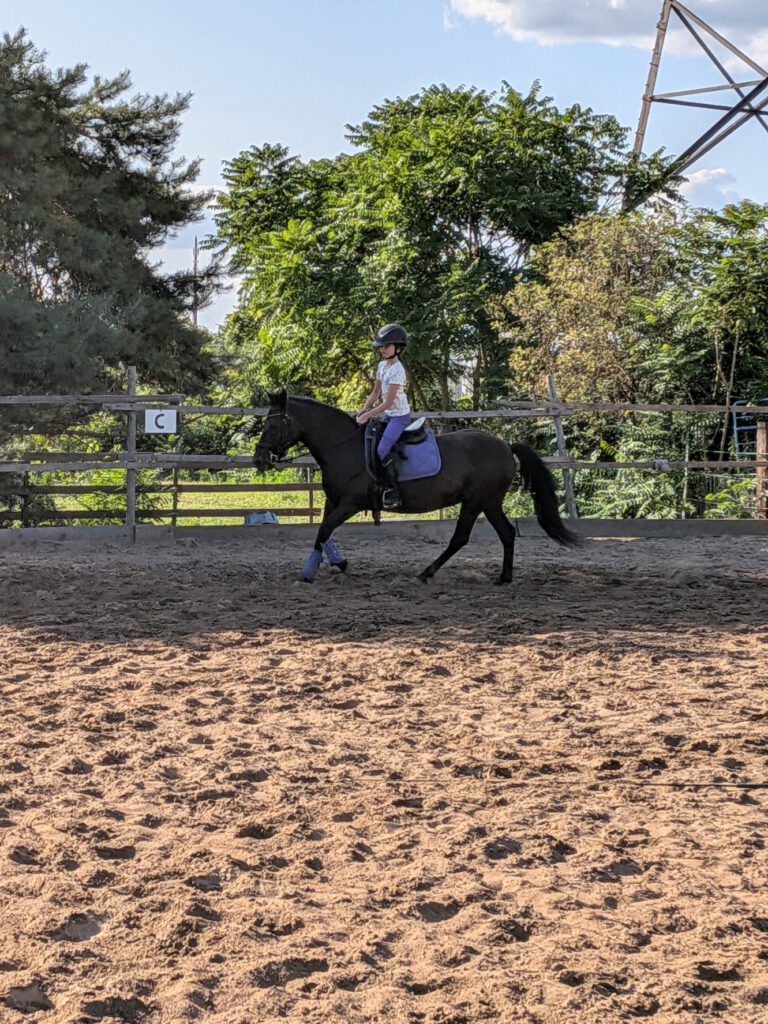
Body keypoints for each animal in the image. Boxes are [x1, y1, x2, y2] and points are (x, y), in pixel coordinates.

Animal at [252, 390, 579, 584]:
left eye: (272, 425)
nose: (259, 459)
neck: (343, 447)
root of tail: (504, 446)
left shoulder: (349, 503)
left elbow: (323, 530)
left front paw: (307, 573)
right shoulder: (332, 500)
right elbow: (324, 532)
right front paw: (339, 563)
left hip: (478, 501)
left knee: (461, 538)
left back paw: (426, 574)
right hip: (487, 502)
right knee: (507, 533)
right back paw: (503, 577)